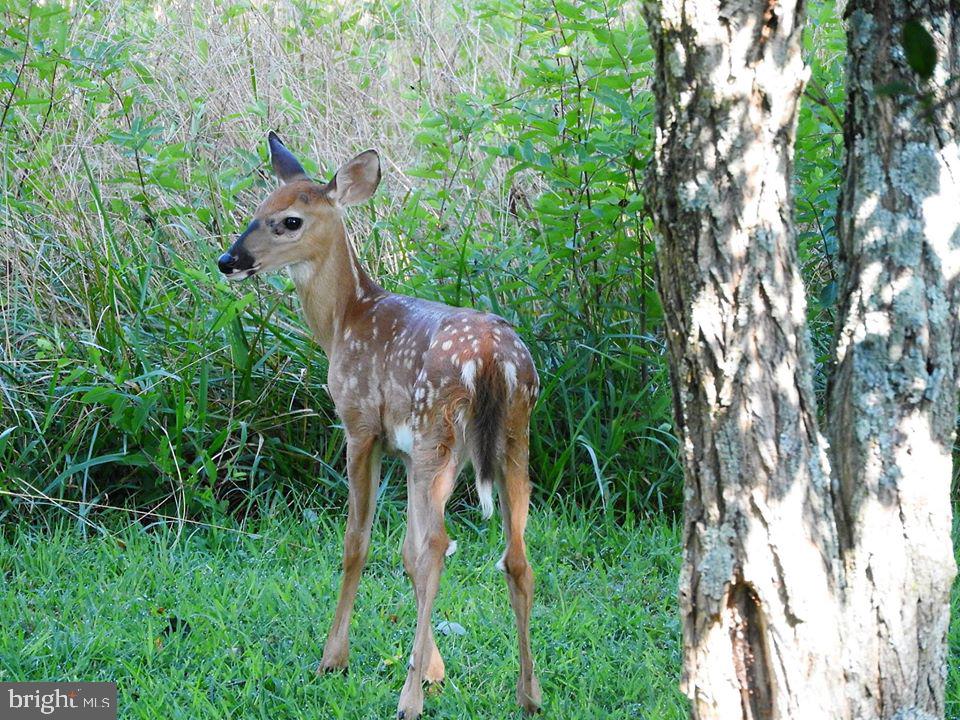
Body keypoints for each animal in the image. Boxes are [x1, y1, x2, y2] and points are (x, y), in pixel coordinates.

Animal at [217, 133, 542, 718]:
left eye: (290, 221)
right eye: (258, 209)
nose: (229, 260)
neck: (345, 320)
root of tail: (490, 358)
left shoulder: (360, 425)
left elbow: (359, 542)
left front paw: (335, 658)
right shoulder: (405, 450)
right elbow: (405, 554)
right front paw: (434, 670)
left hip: (439, 429)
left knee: (439, 545)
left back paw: (407, 700)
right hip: (512, 436)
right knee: (515, 557)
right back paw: (529, 694)